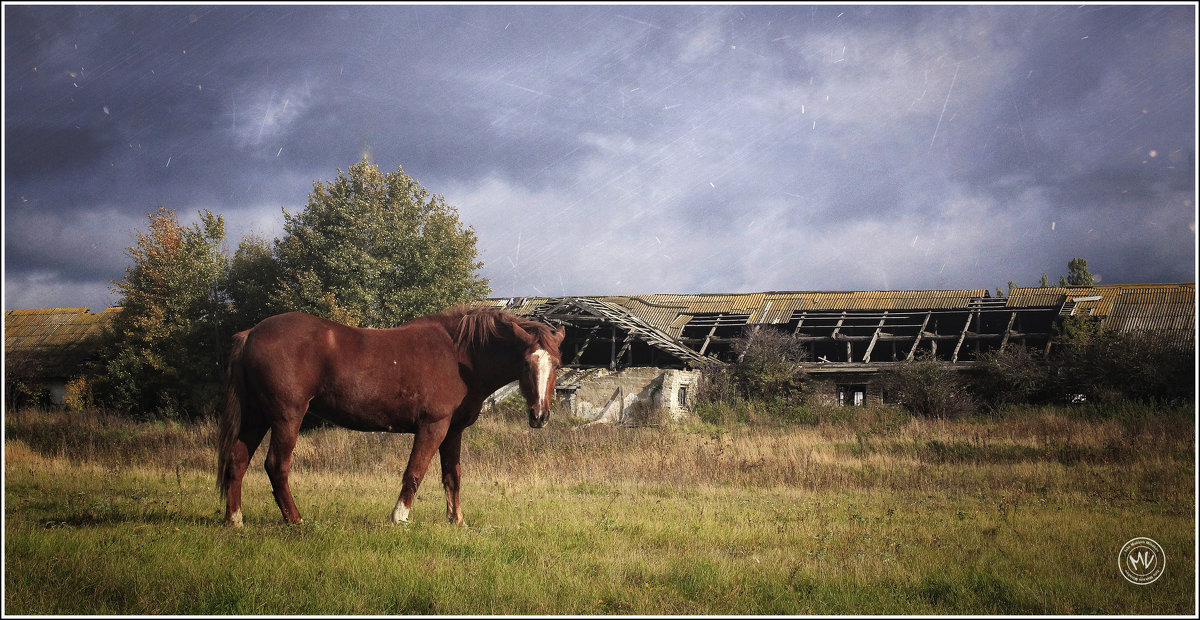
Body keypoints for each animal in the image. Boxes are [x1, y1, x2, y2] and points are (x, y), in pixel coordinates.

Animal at [217, 303, 566, 522]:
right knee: (276, 466)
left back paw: (235, 519)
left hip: (256, 416)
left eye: (558, 364)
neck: (459, 355)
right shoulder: (433, 427)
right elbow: (414, 472)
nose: (539, 416)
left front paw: (457, 521)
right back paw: (296, 520)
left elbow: (452, 477)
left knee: (237, 461)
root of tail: (250, 334)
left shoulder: (452, 431)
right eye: (525, 362)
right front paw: (399, 517)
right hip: (287, 417)